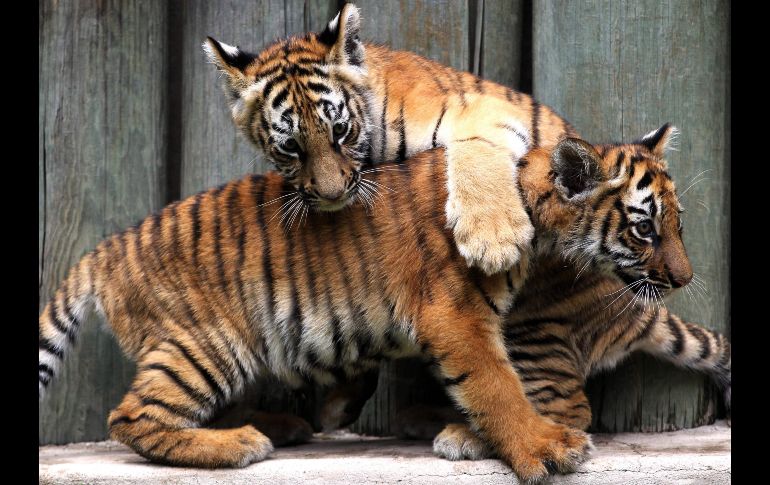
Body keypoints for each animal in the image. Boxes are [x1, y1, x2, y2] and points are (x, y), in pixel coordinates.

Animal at [38, 124, 693, 482]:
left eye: (677, 224)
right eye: (645, 228)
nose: (685, 279)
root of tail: (104, 251)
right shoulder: (455, 314)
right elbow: (495, 385)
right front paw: (542, 448)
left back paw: (276, 425)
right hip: (207, 343)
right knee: (133, 418)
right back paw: (240, 444)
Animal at [203, 2, 578, 277]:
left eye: (340, 130)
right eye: (291, 146)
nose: (332, 195)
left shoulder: (486, 108)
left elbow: (476, 153)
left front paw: (493, 241)